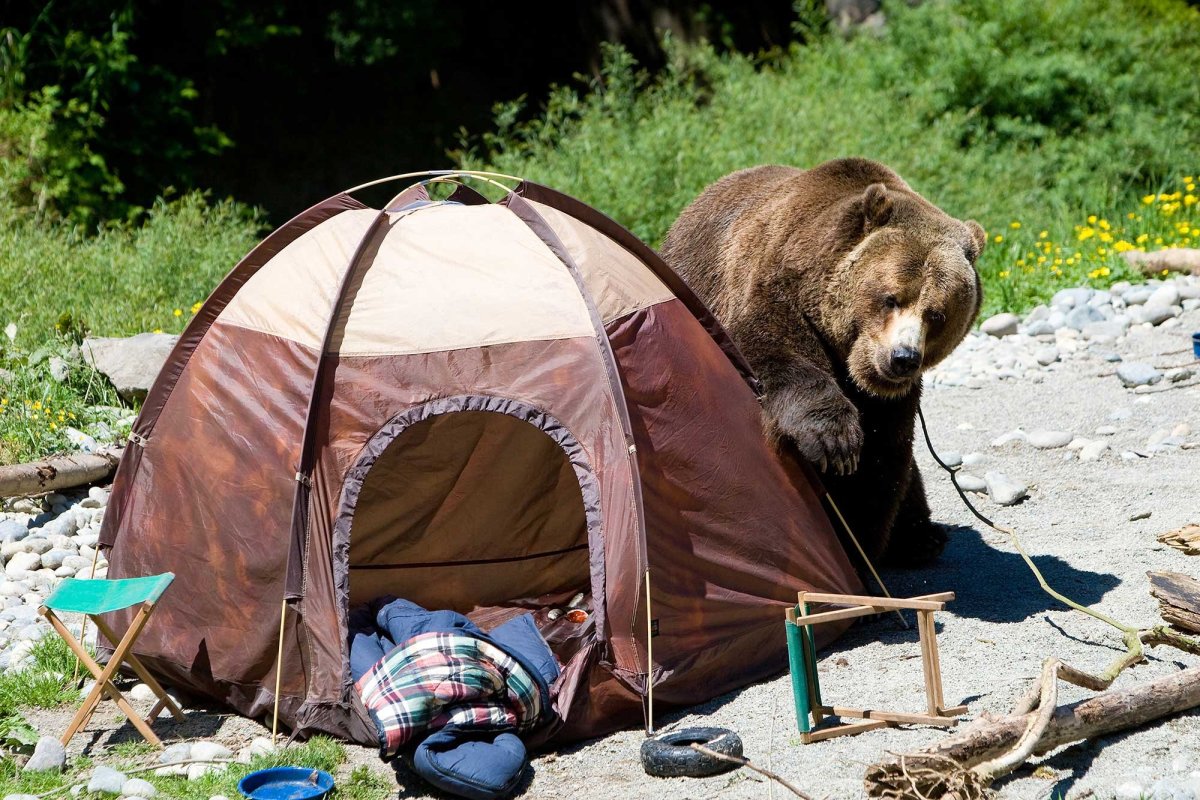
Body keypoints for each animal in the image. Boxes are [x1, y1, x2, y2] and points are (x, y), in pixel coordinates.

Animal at [667, 159, 984, 566]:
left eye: (937, 314)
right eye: (891, 298)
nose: (903, 358)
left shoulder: (891, 399)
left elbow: (883, 457)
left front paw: (858, 540)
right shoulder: (777, 291)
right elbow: (778, 353)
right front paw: (835, 443)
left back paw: (921, 537)